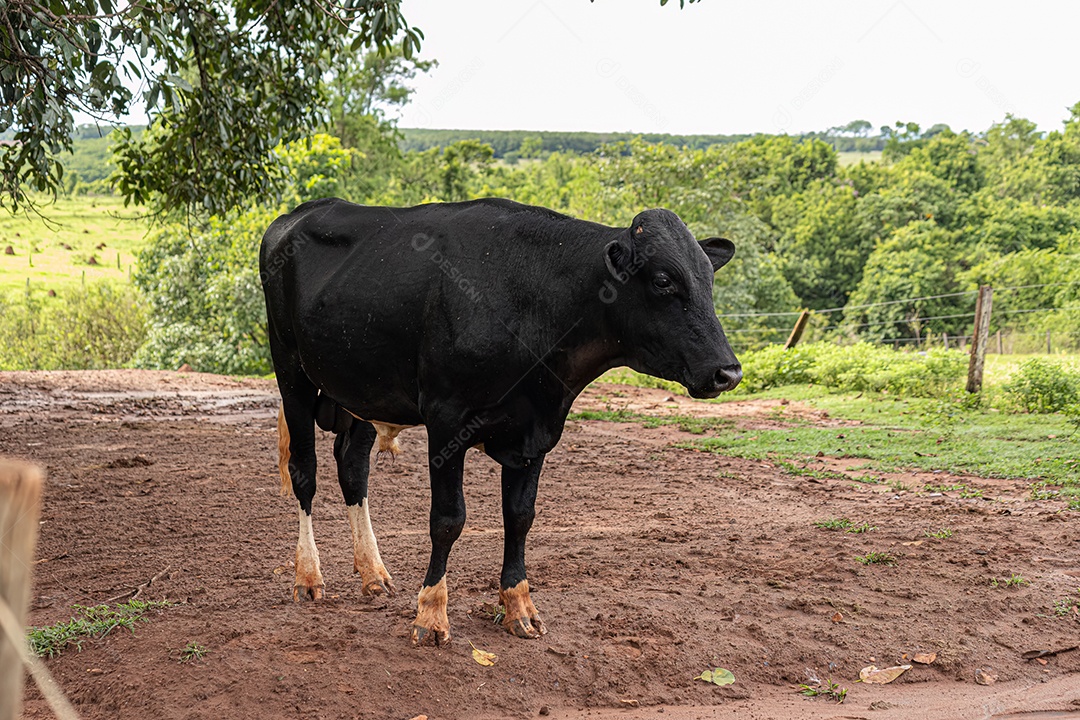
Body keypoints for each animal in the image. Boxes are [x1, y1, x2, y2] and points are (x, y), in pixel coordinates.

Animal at [260, 197, 741, 646]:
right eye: (663, 280)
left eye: (709, 278)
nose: (729, 372)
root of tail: (302, 212)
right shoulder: (446, 418)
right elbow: (448, 519)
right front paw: (431, 615)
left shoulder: (536, 431)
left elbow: (520, 516)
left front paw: (519, 607)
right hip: (291, 370)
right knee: (305, 472)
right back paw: (308, 577)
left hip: (360, 391)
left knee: (352, 467)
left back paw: (373, 573)